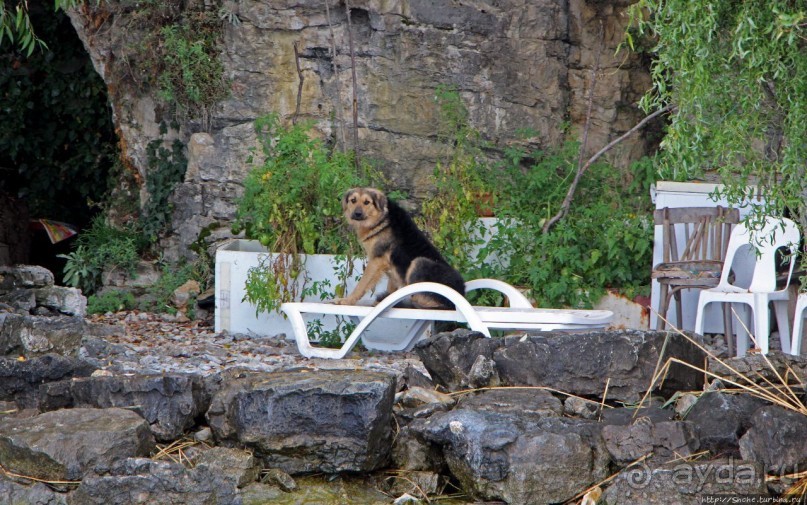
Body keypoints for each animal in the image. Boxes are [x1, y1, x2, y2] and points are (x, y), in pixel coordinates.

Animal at [332, 188, 464, 310]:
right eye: (353, 200)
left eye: (367, 202)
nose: (357, 213)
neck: (382, 218)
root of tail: (454, 303)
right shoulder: (391, 266)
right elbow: (391, 288)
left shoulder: (376, 261)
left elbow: (362, 284)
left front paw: (347, 300)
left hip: (419, 262)